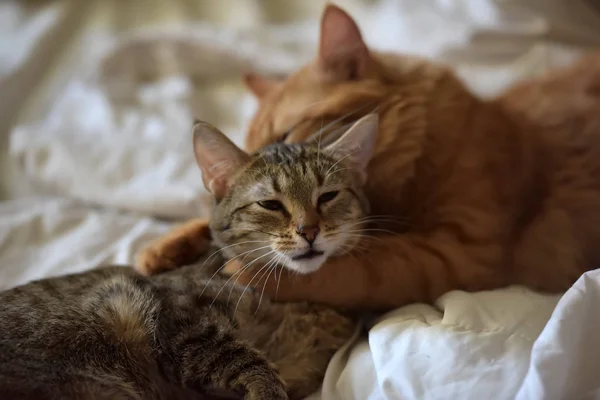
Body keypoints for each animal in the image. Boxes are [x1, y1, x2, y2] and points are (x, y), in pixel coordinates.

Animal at [138, 4, 600, 310]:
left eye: (286, 133)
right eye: (255, 150)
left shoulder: (461, 252)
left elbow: (357, 268)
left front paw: (252, 271)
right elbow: (215, 216)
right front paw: (165, 246)